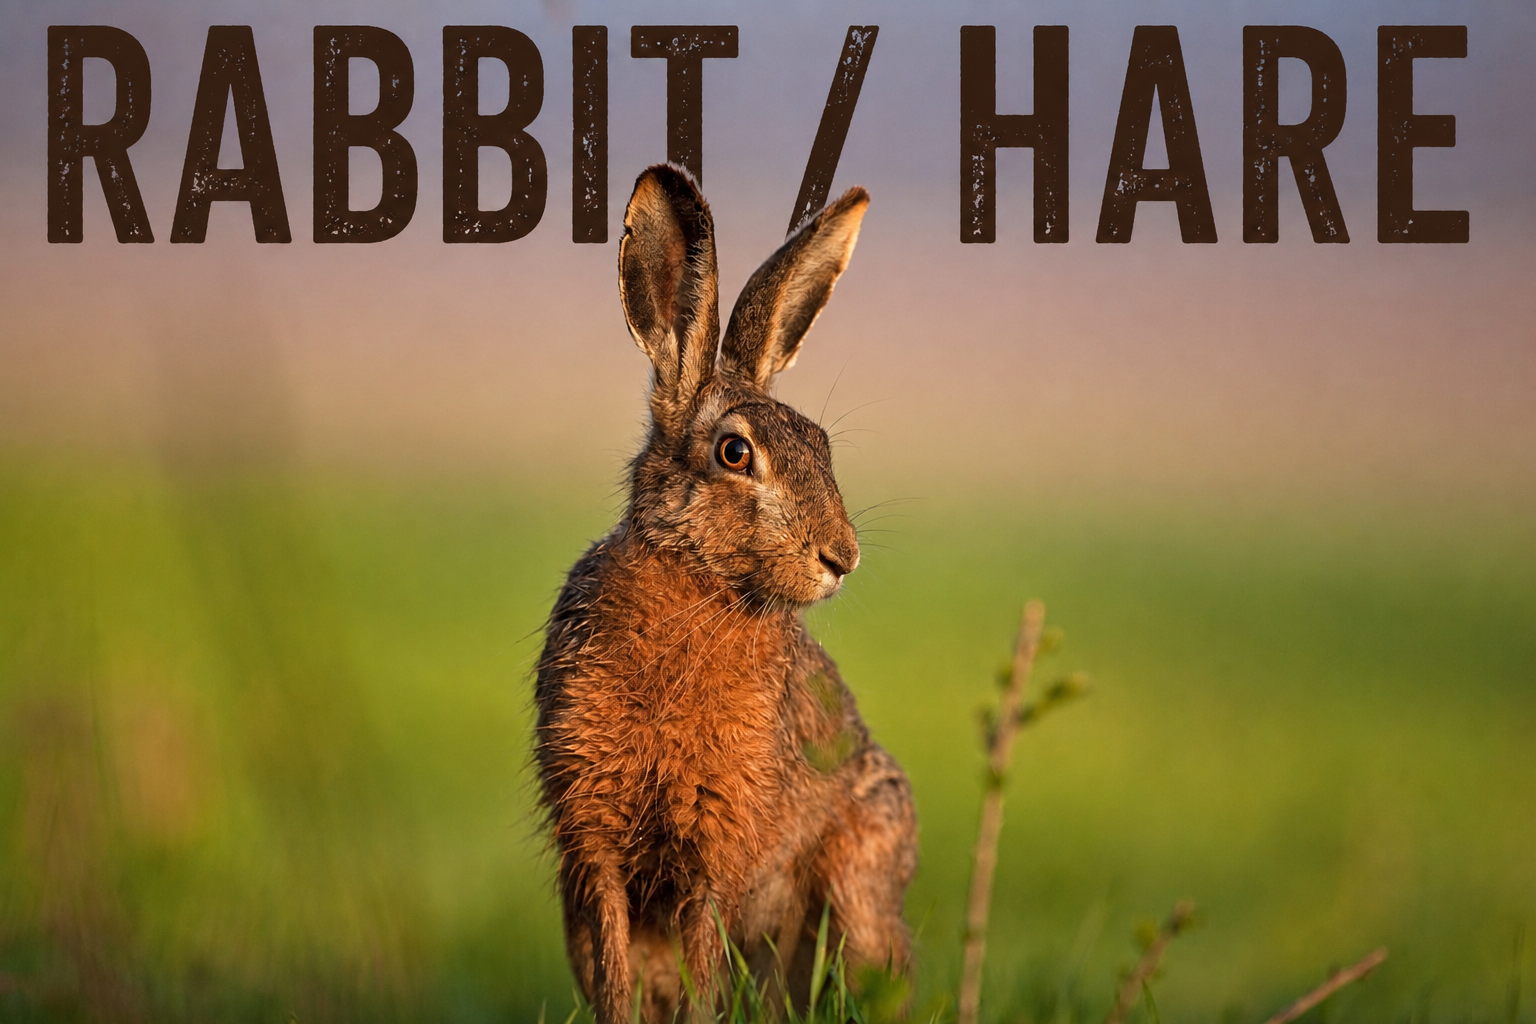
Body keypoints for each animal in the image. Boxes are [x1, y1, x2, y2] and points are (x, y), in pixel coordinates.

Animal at [534, 164, 917, 1024]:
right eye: (735, 454)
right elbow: (615, 972)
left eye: (821, 446)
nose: (840, 558)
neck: (696, 585)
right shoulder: (593, 845)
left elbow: (707, 968)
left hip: (857, 893)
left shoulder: (717, 845)